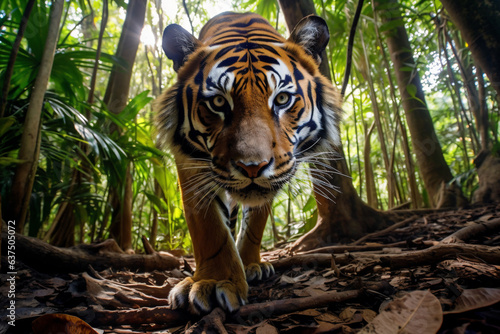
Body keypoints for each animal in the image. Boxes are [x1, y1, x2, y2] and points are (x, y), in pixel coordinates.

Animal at [155, 10, 344, 314]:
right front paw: (213, 282)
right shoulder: (192, 167)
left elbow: (255, 223)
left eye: (282, 98)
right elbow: (210, 228)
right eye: (219, 102)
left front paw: (250, 264)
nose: (252, 167)